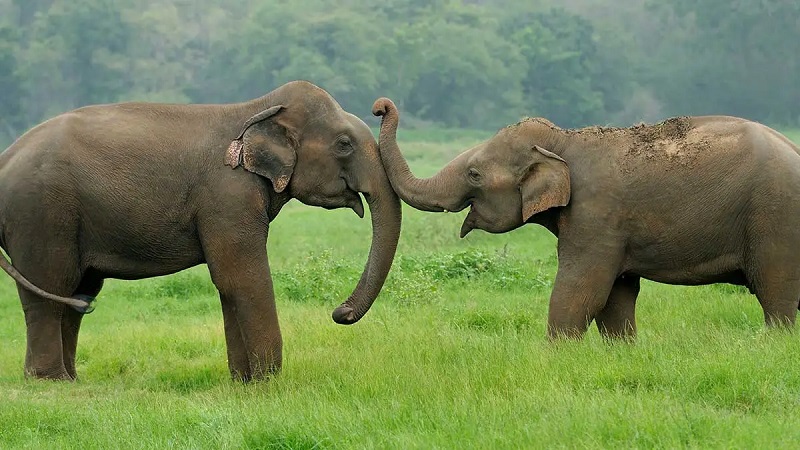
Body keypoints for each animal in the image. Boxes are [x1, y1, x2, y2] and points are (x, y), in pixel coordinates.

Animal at [0, 81, 401, 381]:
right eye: (344, 144)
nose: (339, 312)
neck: (257, 108)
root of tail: (6, 158)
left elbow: (229, 283)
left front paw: (243, 382)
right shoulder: (226, 195)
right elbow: (242, 277)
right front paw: (268, 381)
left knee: (78, 292)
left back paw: (71, 379)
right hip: (40, 214)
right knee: (50, 286)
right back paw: (50, 381)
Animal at [371, 97, 800, 339]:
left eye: (474, 174)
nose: (379, 106)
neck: (563, 141)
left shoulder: (597, 214)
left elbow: (582, 288)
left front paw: (554, 355)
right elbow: (617, 296)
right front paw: (622, 352)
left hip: (775, 219)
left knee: (776, 295)